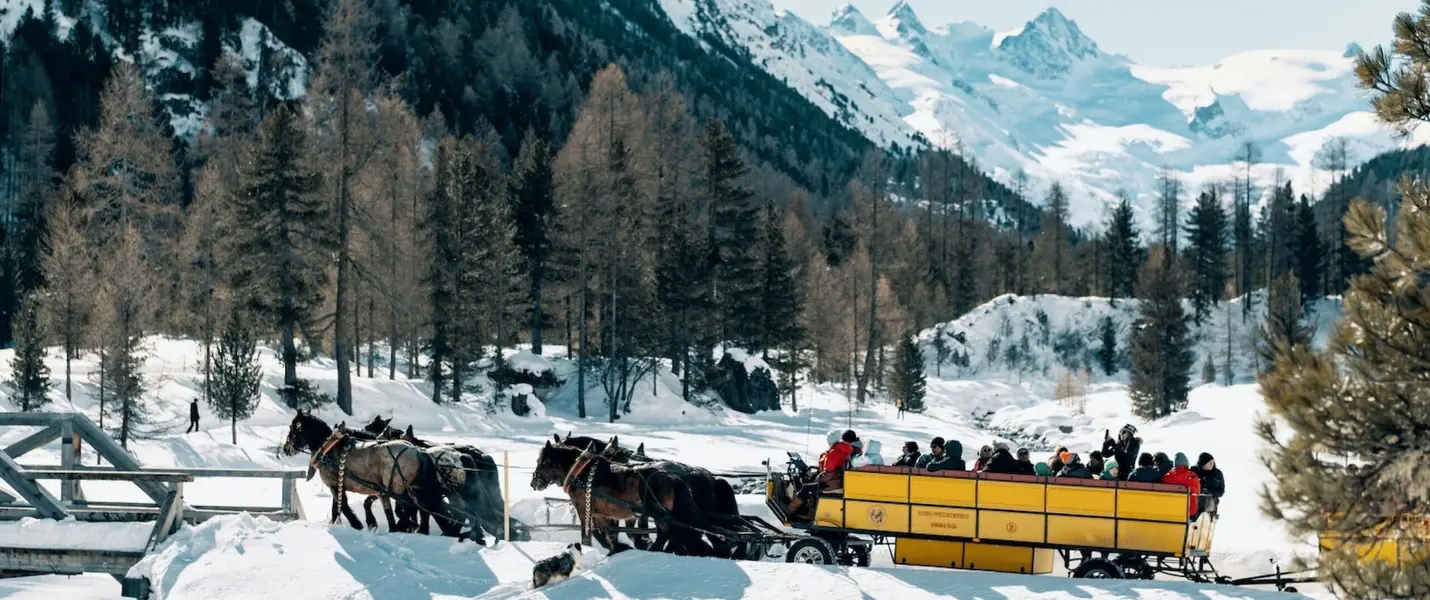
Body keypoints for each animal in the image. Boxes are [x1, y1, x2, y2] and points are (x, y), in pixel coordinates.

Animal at [529, 437, 712, 554]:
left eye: (542, 461)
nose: (533, 483)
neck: (581, 472)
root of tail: (669, 476)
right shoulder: (601, 513)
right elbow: (607, 533)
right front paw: (617, 548)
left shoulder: (584, 509)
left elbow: (589, 533)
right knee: (669, 532)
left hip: (657, 511)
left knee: (669, 532)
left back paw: (660, 550)